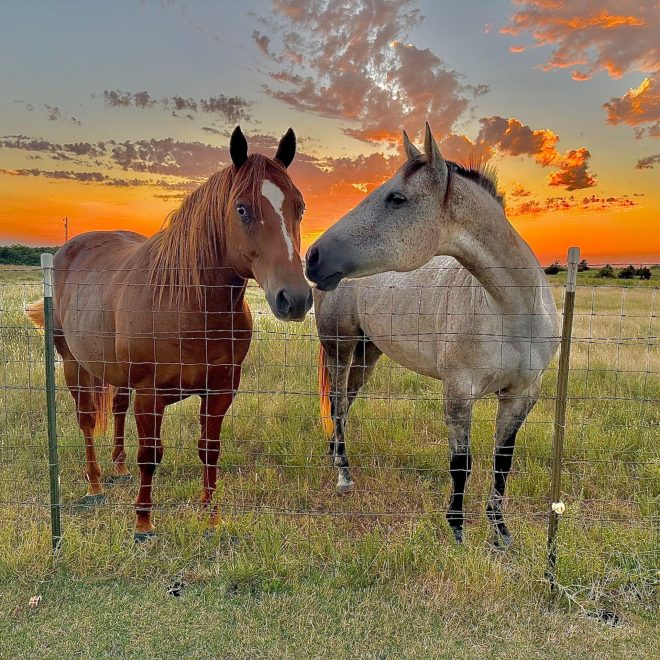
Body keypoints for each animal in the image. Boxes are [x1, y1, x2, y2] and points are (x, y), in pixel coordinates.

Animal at [27, 126, 312, 540]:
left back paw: (118, 469)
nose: (294, 298)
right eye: (242, 209)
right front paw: (143, 523)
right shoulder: (151, 394)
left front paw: (212, 517)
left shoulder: (221, 389)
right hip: (72, 364)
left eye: (299, 206)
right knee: (86, 420)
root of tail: (67, 249)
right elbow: (150, 455)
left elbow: (209, 448)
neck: (189, 304)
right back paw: (95, 486)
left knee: (117, 408)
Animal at [306, 124, 560, 548]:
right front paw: (457, 529)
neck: (512, 311)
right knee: (338, 403)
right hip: (339, 348)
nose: (313, 257)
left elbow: (502, 462)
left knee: (346, 401)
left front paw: (500, 532)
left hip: (367, 353)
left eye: (396, 198)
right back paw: (343, 473)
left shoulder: (522, 395)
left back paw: (332, 454)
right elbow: (462, 463)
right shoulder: (458, 392)